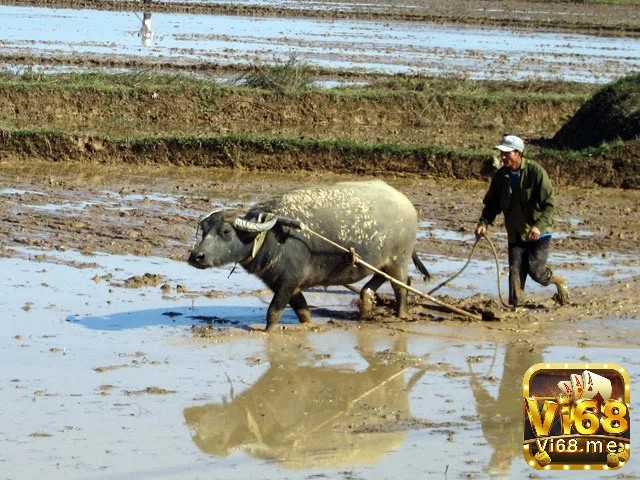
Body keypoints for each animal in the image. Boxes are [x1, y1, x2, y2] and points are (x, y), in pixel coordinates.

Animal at [190, 180, 430, 330]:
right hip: (381, 263)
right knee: (373, 285)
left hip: (399, 260)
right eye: (204, 230)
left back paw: (400, 316)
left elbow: (273, 312)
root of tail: (407, 204)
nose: (196, 257)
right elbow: (303, 311)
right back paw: (366, 307)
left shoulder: (288, 281)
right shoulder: (285, 284)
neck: (270, 237)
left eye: (226, 232)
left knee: (402, 287)